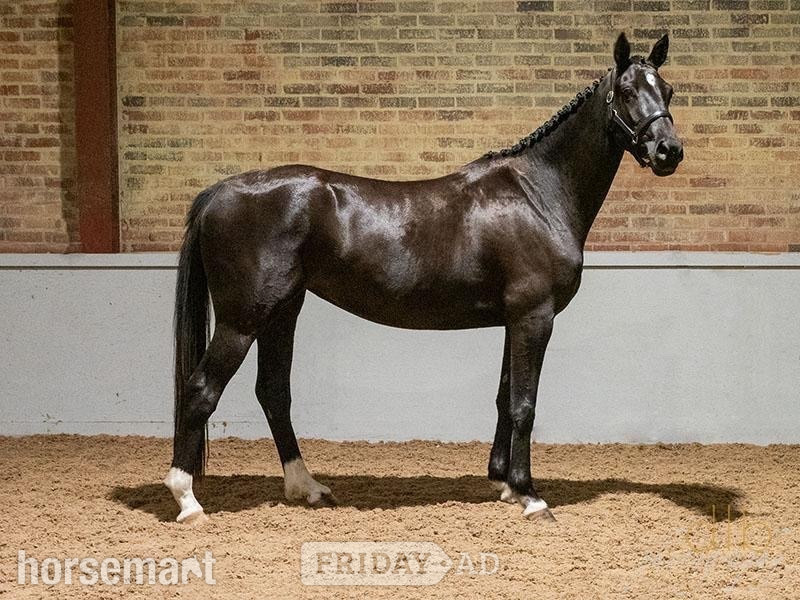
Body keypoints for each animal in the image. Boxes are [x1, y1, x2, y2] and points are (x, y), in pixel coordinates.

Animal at [164, 33, 683, 524]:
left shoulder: (515, 319)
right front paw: (531, 496)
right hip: (243, 319)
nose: (668, 151)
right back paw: (187, 498)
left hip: (282, 312)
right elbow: (524, 404)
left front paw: (505, 484)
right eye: (627, 91)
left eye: (669, 91)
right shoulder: (535, 316)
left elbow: (504, 397)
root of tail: (219, 192)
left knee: (273, 392)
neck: (537, 194)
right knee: (201, 390)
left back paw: (306, 487)